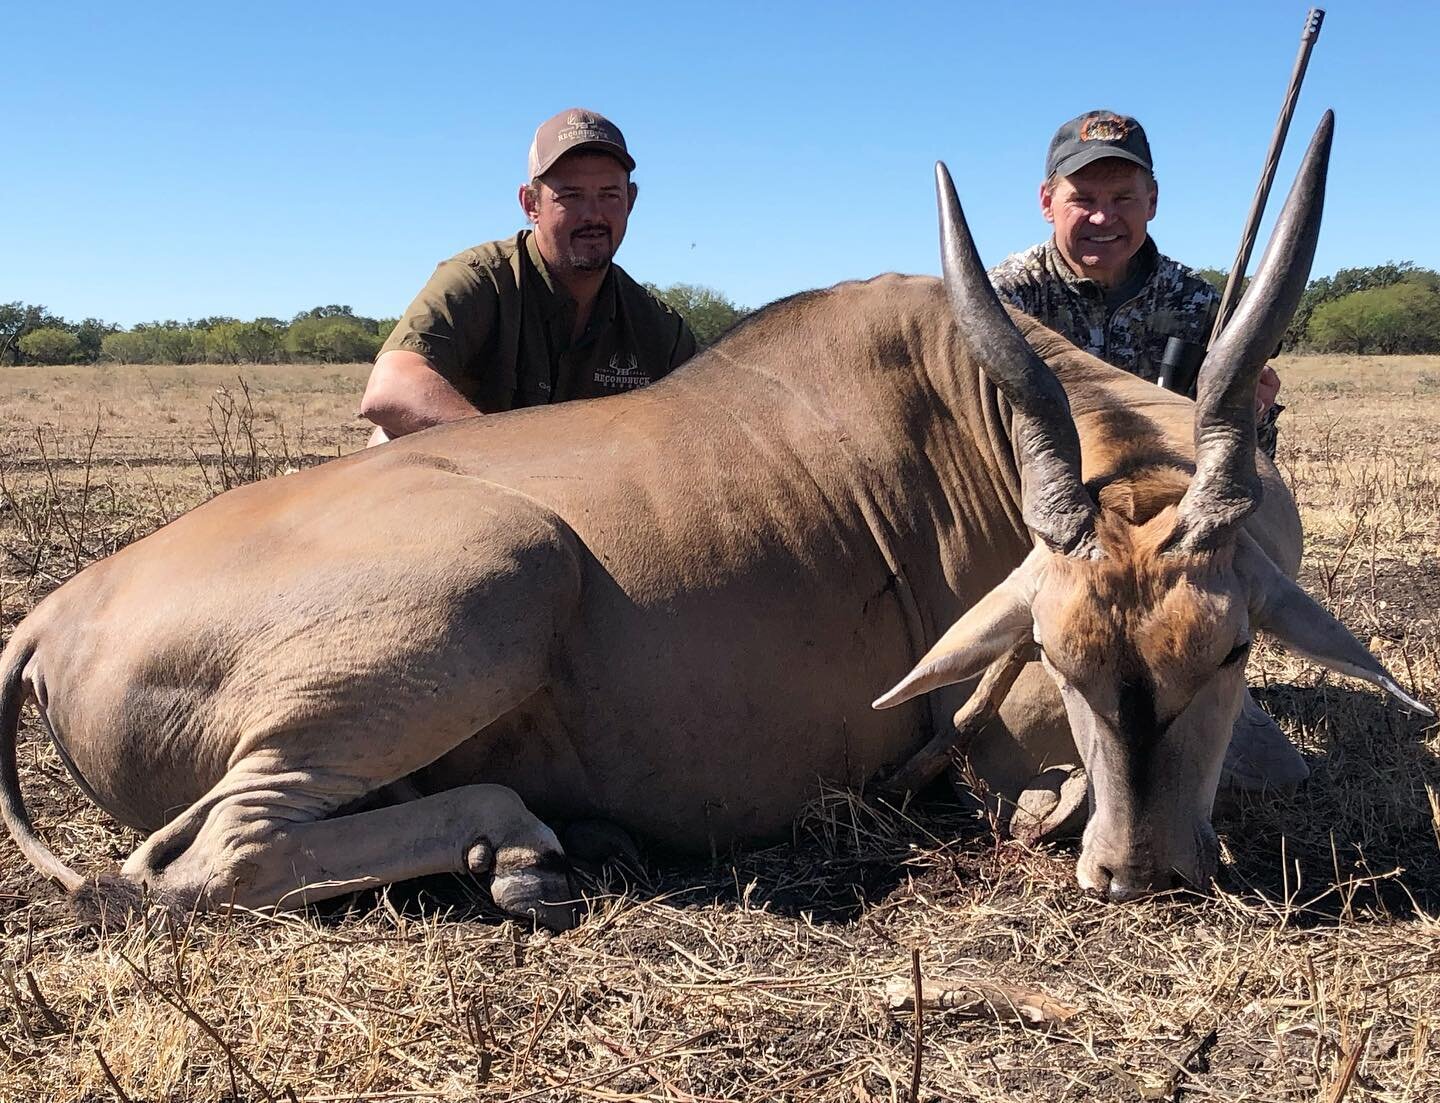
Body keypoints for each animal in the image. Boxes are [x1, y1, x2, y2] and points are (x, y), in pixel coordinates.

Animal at [0, 114, 1428, 921]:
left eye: (1230, 651)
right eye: (1061, 663)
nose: (1143, 871)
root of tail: (54, 615)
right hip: (505, 573)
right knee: (213, 860)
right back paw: (522, 844)